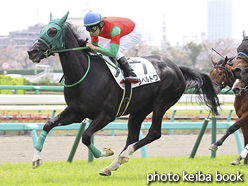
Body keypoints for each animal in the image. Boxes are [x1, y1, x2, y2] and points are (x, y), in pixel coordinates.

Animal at [27, 12, 219, 176]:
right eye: (42, 29)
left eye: (52, 31)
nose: (31, 52)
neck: (85, 74)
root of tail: (177, 67)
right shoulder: (76, 112)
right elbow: (48, 124)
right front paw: (36, 159)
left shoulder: (107, 114)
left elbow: (86, 136)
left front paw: (104, 152)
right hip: (139, 109)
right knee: (132, 137)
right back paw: (112, 165)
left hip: (161, 103)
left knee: (153, 133)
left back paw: (122, 156)